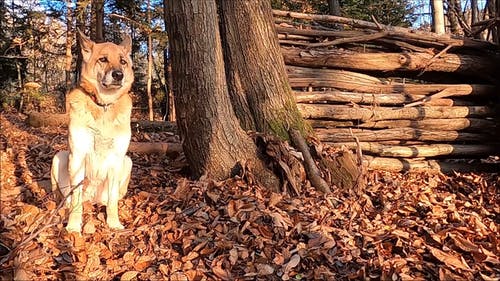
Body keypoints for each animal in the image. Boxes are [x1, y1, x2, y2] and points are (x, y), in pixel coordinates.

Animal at [50, 30, 135, 232]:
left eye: (123, 61)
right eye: (103, 59)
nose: (118, 75)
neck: (103, 105)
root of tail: (93, 199)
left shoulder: (116, 159)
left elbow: (112, 201)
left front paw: (113, 222)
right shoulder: (78, 157)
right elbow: (76, 202)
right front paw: (73, 226)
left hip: (127, 162)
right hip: (59, 157)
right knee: (67, 198)